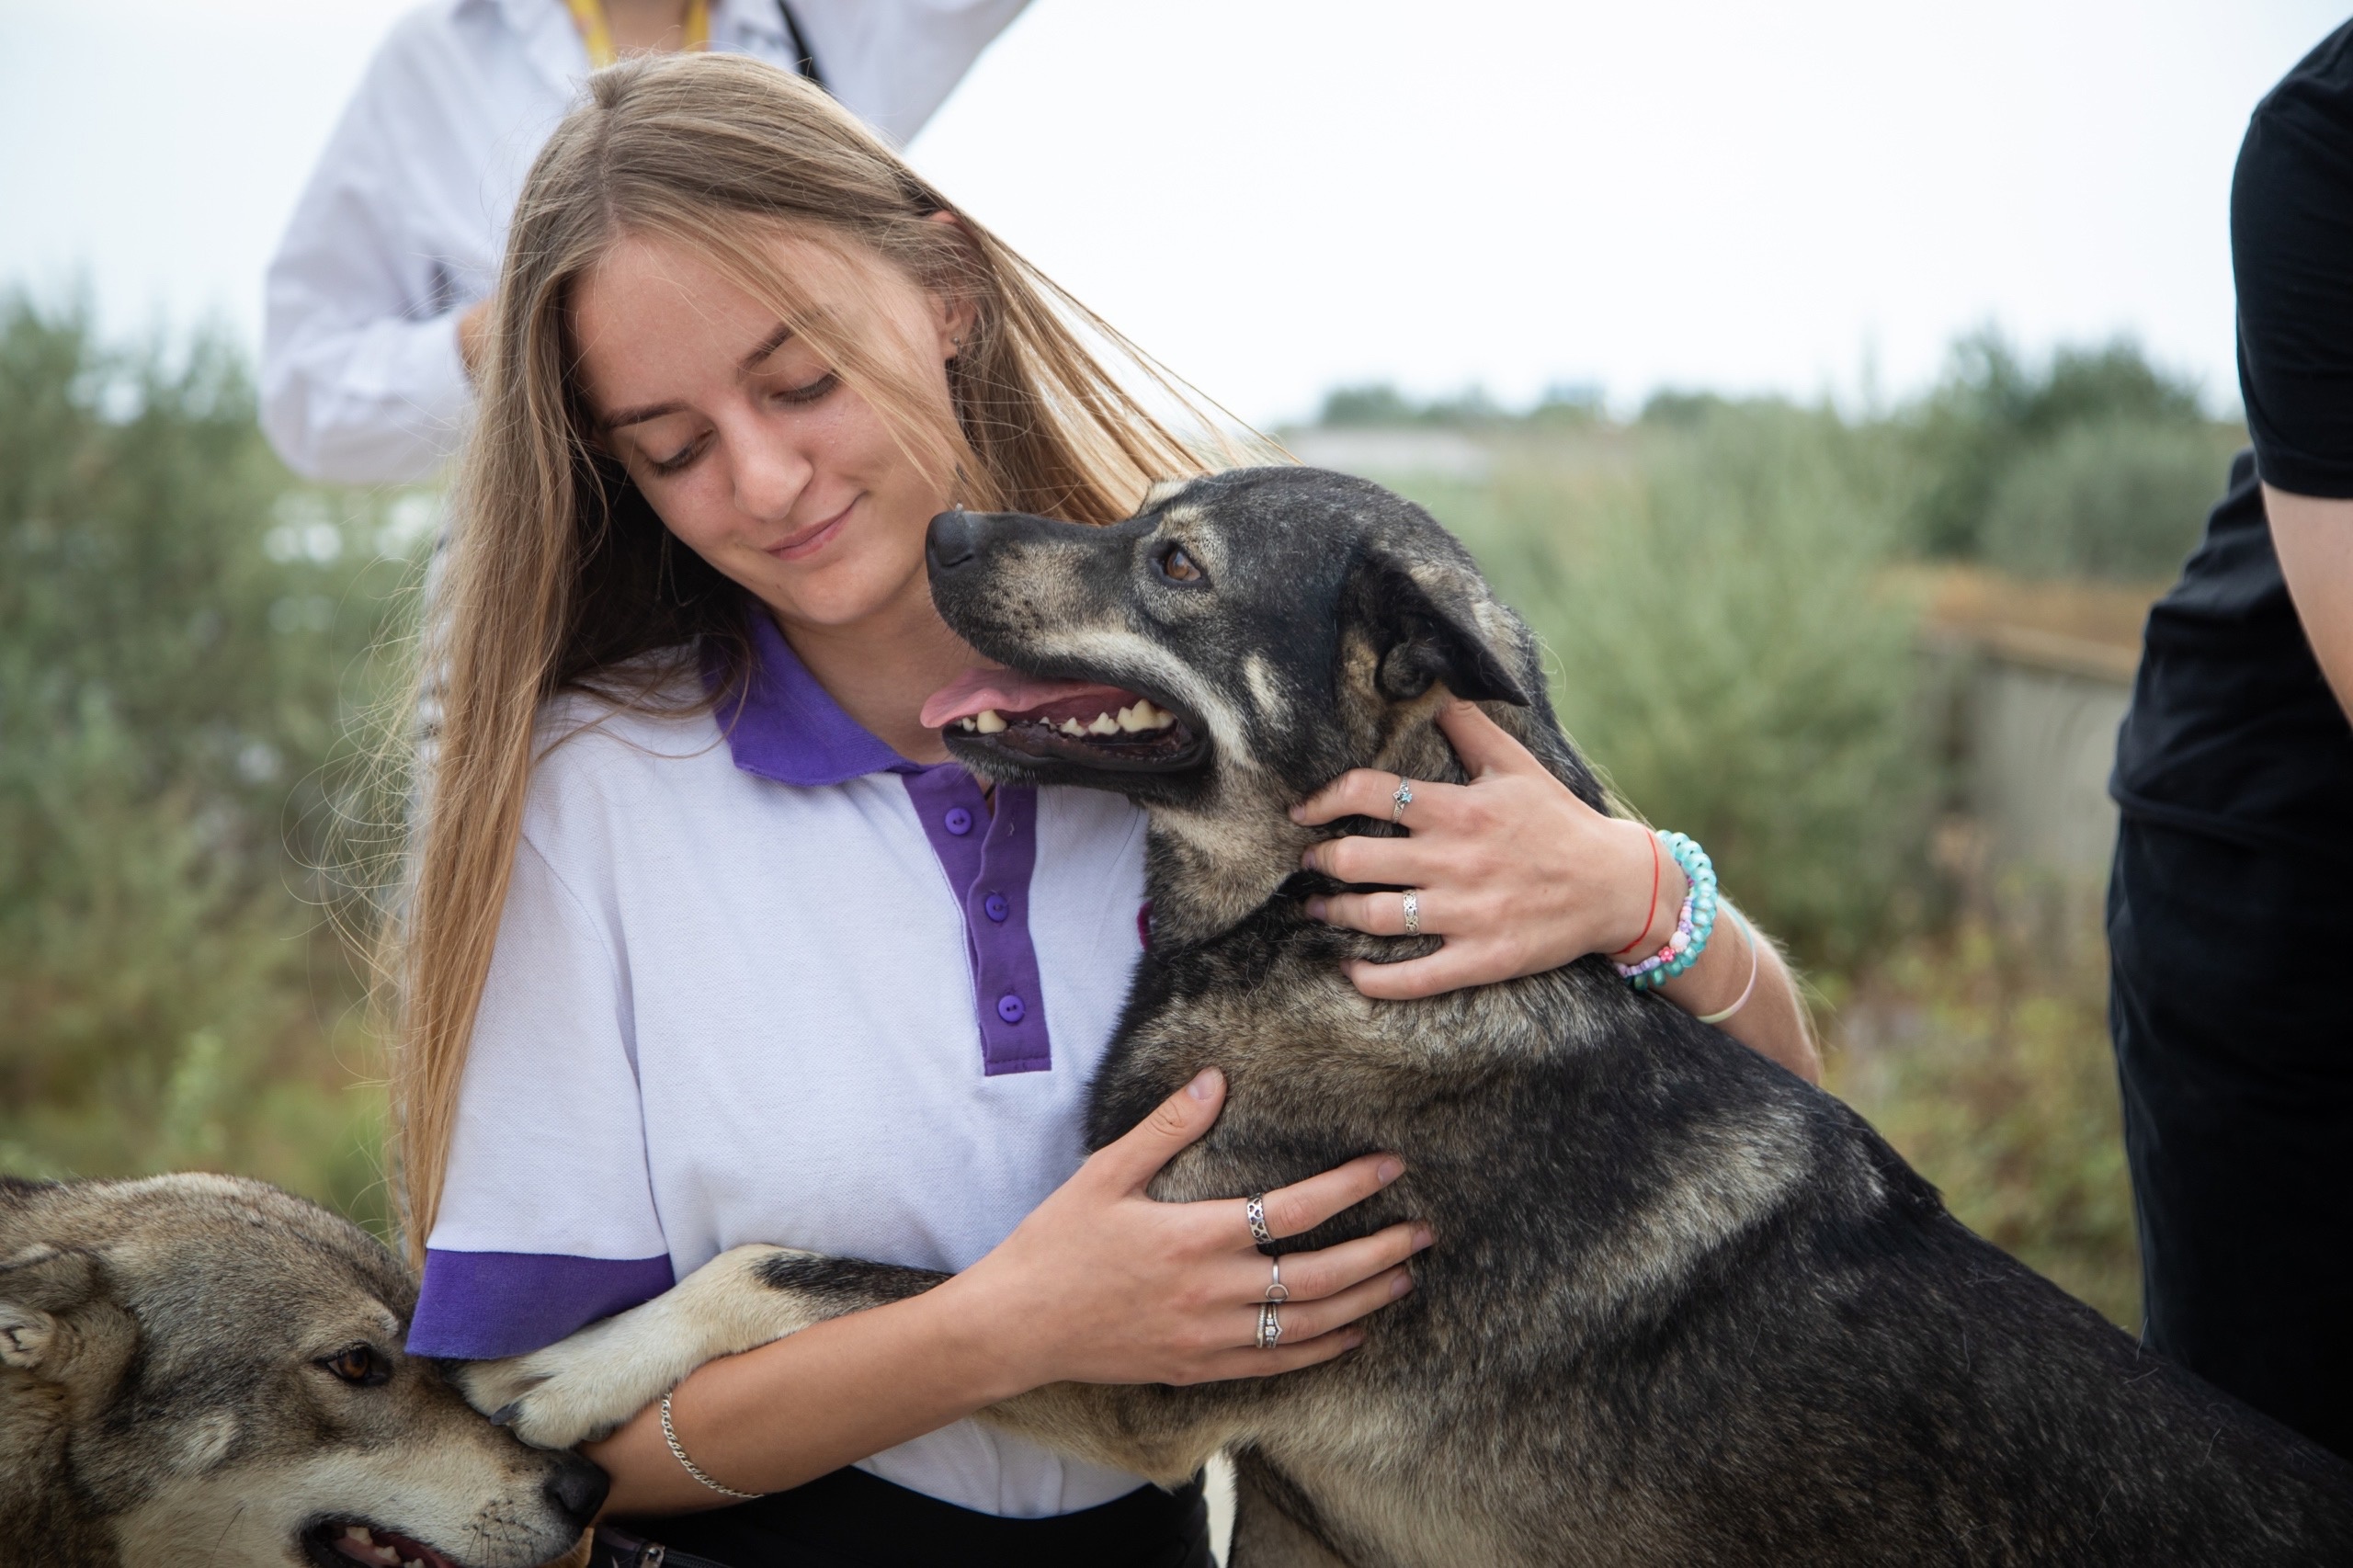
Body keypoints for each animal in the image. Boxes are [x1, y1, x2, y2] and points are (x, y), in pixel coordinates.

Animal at [459, 466, 2353, 1562]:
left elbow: (787, 1266)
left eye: (1174, 562)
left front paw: (569, 1370)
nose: (932, 527)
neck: (1318, 926)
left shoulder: (1149, 1377)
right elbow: (791, 1261)